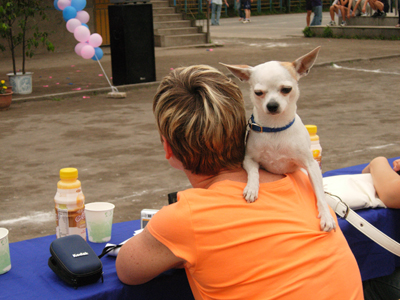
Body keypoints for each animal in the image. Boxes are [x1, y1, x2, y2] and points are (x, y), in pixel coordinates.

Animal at [223, 47, 336, 232]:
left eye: (286, 89)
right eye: (258, 93)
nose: (272, 105)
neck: (275, 128)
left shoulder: (311, 166)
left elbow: (319, 194)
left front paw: (326, 216)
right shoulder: (249, 160)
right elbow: (254, 173)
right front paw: (252, 189)